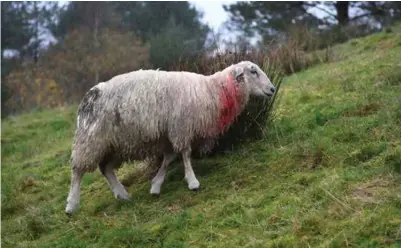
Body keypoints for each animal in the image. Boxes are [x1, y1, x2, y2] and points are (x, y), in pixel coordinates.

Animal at [65, 61, 276, 214]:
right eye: (253, 71)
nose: (273, 89)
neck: (212, 91)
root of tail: (88, 96)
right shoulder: (181, 128)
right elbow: (185, 155)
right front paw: (192, 182)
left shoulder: (168, 136)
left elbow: (169, 158)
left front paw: (156, 186)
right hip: (91, 140)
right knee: (77, 170)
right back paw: (72, 205)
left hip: (116, 143)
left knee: (106, 169)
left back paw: (122, 194)